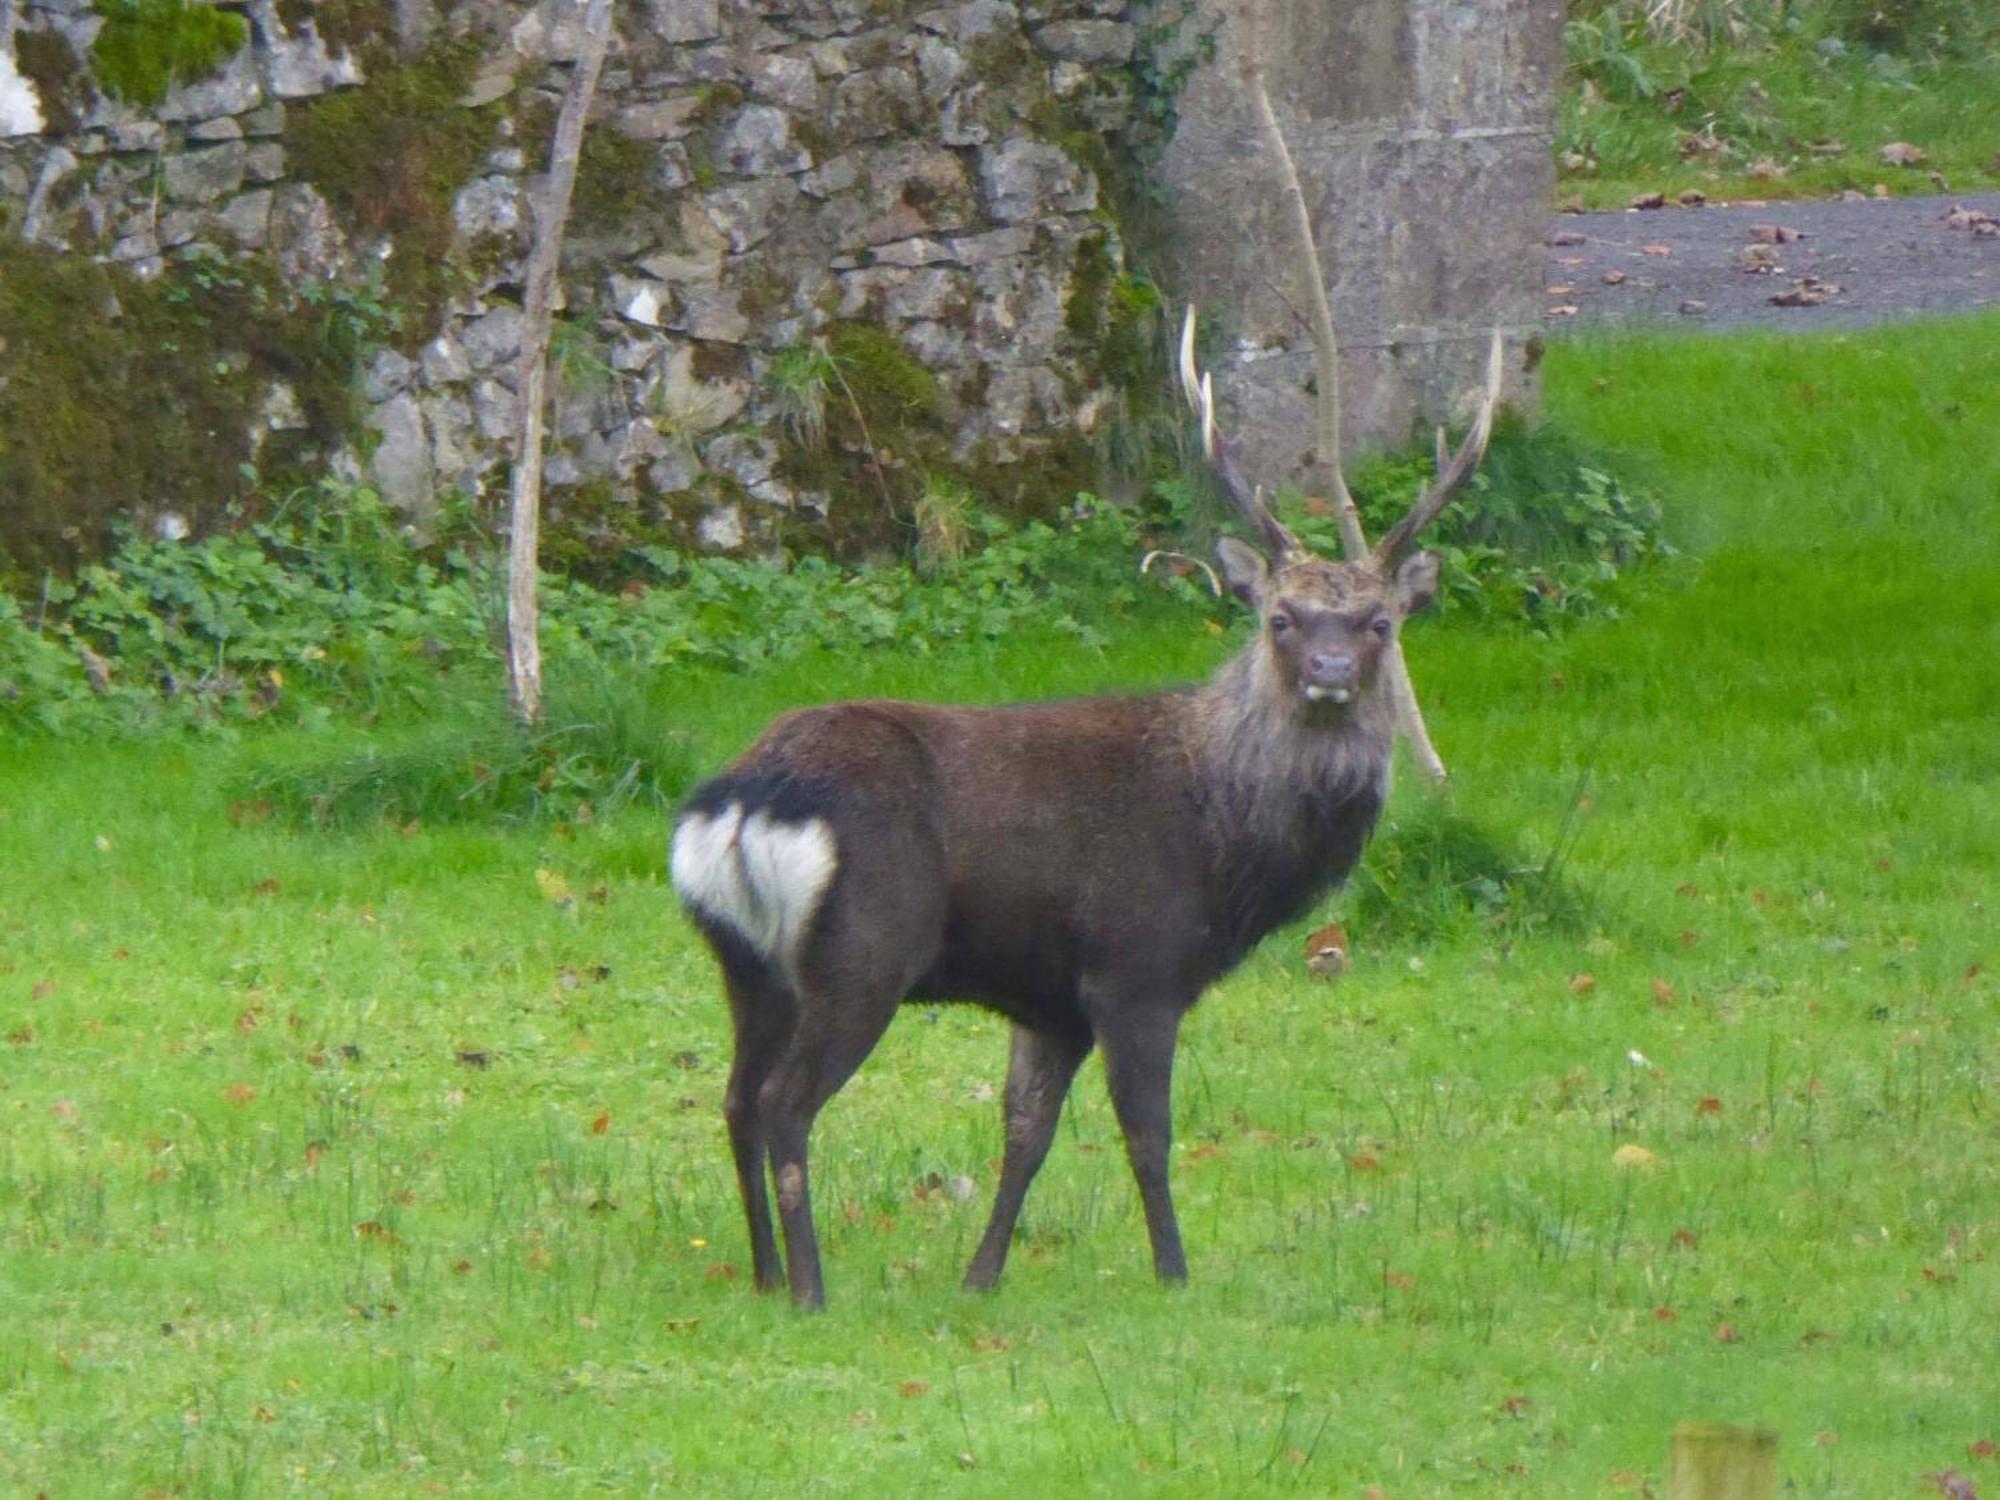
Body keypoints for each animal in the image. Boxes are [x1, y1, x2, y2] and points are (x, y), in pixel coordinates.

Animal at [672, 314, 1504, 1304]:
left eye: (1381, 623)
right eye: (1282, 619)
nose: (1332, 673)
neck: (1228, 850)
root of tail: (740, 803)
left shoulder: (1049, 1002)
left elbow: (1024, 1138)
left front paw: (981, 1276)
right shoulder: (1136, 966)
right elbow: (1148, 1135)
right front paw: (1174, 1273)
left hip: (746, 963)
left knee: (733, 1099)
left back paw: (764, 1275)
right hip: (862, 952)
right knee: (782, 1103)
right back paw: (809, 1287)